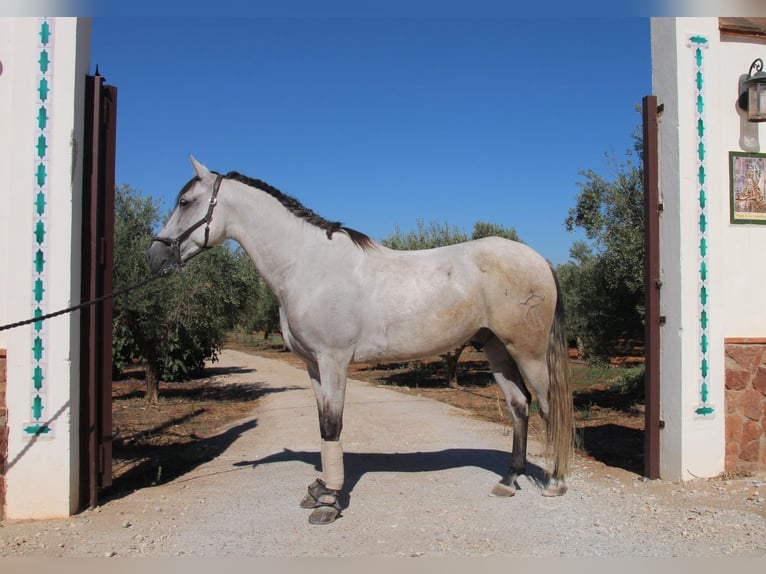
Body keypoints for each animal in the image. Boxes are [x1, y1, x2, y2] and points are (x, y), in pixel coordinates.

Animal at [149, 156, 574, 525]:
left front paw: (330, 502)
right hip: (496, 347)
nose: (155, 257)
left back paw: (554, 482)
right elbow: (322, 423)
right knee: (519, 405)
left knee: (547, 406)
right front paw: (318, 489)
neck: (308, 265)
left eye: (185, 202)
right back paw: (509, 480)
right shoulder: (313, 365)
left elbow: (333, 425)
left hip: (529, 352)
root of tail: (538, 259)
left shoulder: (334, 360)